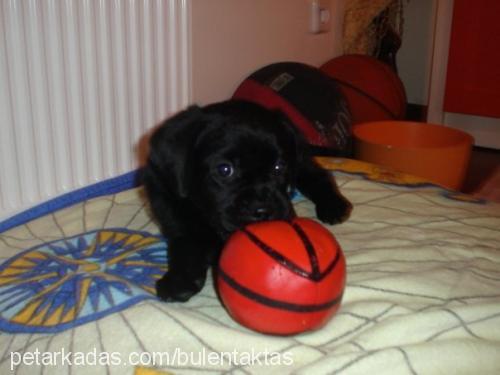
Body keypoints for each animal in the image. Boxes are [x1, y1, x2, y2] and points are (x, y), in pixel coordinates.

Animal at [142, 100, 352, 302]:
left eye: (279, 166)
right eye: (224, 169)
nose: (263, 211)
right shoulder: (172, 214)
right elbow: (184, 245)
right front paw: (178, 281)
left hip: (302, 162)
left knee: (318, 176)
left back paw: (334, 205)